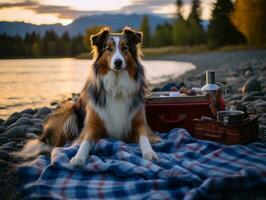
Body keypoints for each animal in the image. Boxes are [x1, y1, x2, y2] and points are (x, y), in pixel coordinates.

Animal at [17, 27, 162, 167]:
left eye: (124, 48)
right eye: (108, 48)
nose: (118, 62)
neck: (116, 86)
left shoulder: (139, 123)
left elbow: (144, 137)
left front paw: (149, 152)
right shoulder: (92, 125)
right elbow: (84, 142)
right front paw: (78, 157)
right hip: (69, 113)